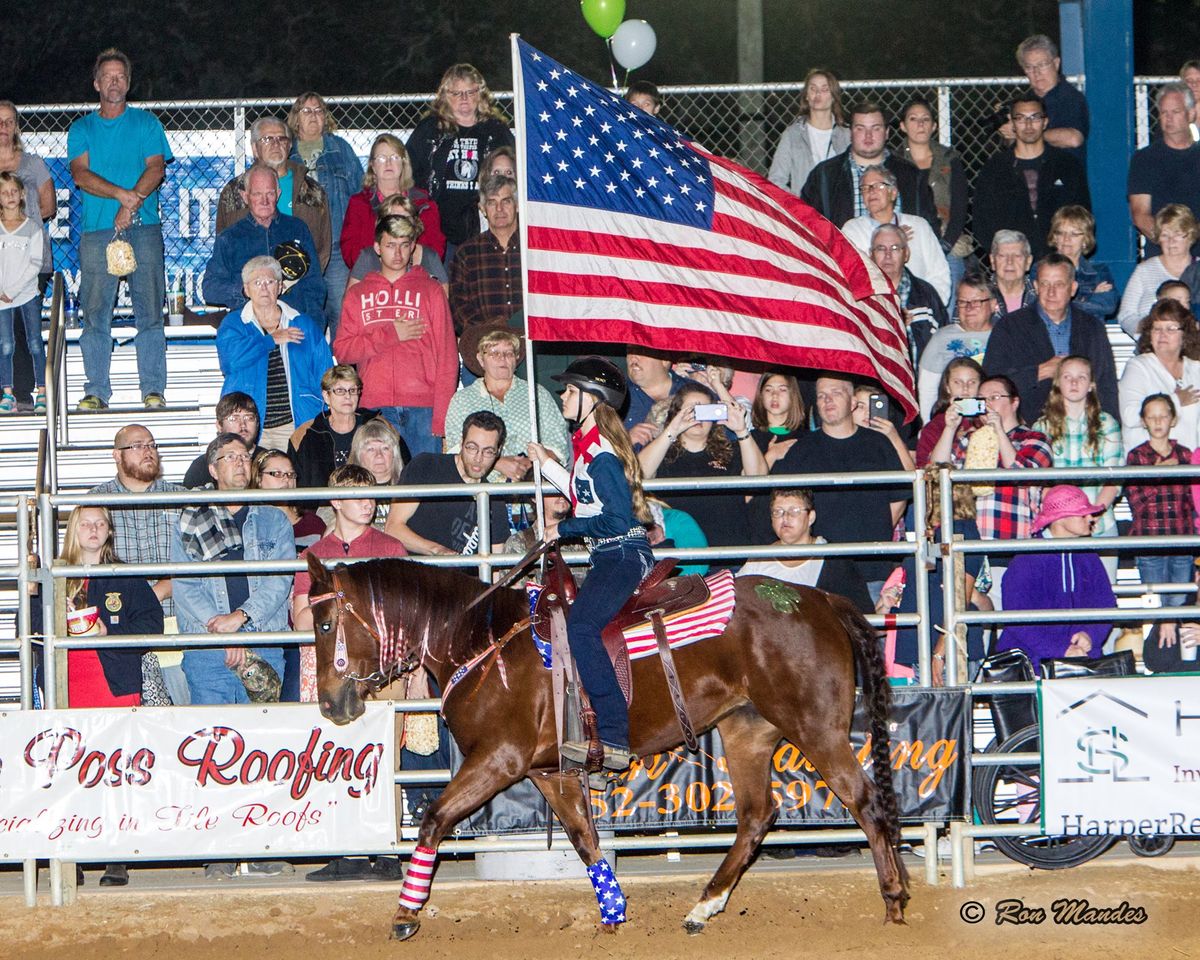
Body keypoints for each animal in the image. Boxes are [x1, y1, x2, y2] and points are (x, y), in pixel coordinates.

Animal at [307, 552, 907, 940]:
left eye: (325, 623)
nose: (332, 705)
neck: (478, 641)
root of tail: (819, 599)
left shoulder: (498, 760)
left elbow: (434, 818)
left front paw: (406, 914)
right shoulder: (549, 773)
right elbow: (585, 841)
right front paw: (613, 911)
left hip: (816, 726)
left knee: (865, 802)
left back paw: (894, 901)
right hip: (748, 730)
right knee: (758, 815)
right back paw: (704, 906)